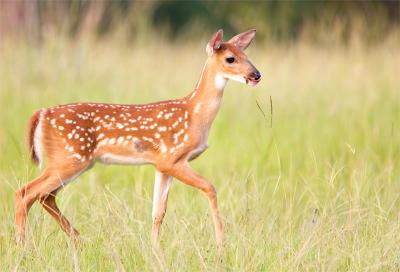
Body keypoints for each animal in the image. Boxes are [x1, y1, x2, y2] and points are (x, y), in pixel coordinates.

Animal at [14, 28, 260, 251]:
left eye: (247, 55)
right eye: (230, 58)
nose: (256, 75)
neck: (195, 114)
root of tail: (41, 114)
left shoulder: (162, 165)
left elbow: (158, 211)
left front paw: (154, 250)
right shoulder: (173, 158)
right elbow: (210, 188)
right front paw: (221, 245)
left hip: (72, 161)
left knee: (44, 196)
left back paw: (78, 240)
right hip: (69, 158)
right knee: (26, 192)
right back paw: (22, 247)